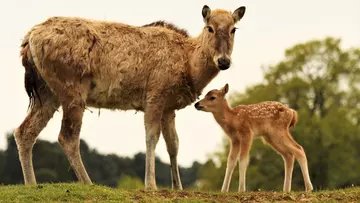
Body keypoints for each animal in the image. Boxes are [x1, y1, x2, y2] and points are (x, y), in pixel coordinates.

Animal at [13, 4, 245, 190]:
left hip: (47, 92)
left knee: (24, 131)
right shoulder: (155, 95)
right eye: (210, 28)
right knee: (67, 136)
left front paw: (178, 187)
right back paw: (89, 183)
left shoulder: (169, 107)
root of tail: (28, 40)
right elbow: (151, 137)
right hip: (72, 89)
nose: (224, 61)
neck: (189, 67)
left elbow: (174, 144)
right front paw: (151, 184)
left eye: (234, 29)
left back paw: (31, 184)